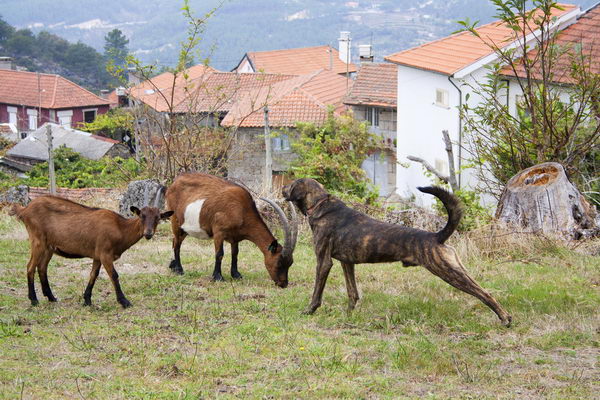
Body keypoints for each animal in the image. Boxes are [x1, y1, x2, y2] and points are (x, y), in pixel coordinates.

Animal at [10, 192, 172, 308]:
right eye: (142, 216)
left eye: (158, 217)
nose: (148, 233)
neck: (120, 228)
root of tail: (24, 210)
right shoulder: (105, 253)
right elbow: (114, 275)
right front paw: (124, 301)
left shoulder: (97, 255)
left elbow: (93, 274)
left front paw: (87, 300)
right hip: (37, 241)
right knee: (30, 267)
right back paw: (34, 300)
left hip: (49, 247)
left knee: (42, 267)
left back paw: (51, 297)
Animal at [164, 173, 298, 286]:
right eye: (279, 263)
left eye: (290, 263)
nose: (283, 284)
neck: (241, 208)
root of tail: (174, 183)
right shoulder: (219, 232)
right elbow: (219, 254)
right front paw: (218, 277)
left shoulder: (235, 237)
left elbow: (235, 253)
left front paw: (236, 275)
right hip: (175, 220)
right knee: (176, 244)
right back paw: (179, 270)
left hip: (183, 228)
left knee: (174, 241)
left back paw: (173, 266)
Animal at [282, 178, 510, 324]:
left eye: (291, 184)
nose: (282, 188)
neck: (320, 204)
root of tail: (437, 236)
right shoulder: (347, 263)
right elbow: (352, 292)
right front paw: (349, 314)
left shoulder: (324, 261)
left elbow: (317, 293)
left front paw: (309, 310)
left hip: (449, 271)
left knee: (485, 293)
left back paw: (504, 318)